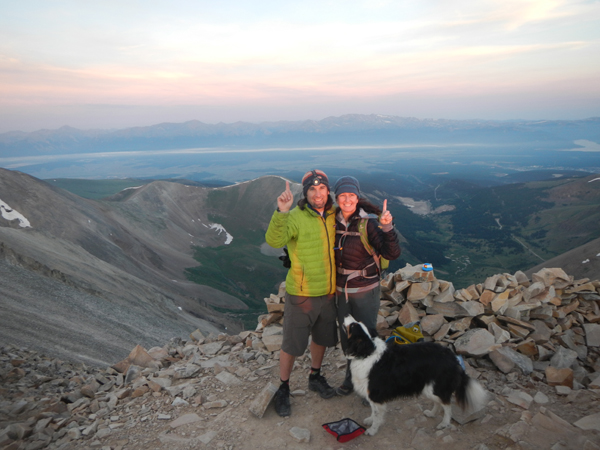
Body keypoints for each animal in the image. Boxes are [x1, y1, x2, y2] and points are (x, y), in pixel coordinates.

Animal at [344, 314, 486, 434]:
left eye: (353, 326)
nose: (347, 315)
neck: (367, 352)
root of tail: (453, 357)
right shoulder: (372, 395)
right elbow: (374, 412)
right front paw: (370, 420)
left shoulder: (375, 393)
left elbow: (377, 414)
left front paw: (372, 430)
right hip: (430, 388)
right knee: (439, 403)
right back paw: (431, 413)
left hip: (435, 388)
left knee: (447, 405)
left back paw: (444, 424)